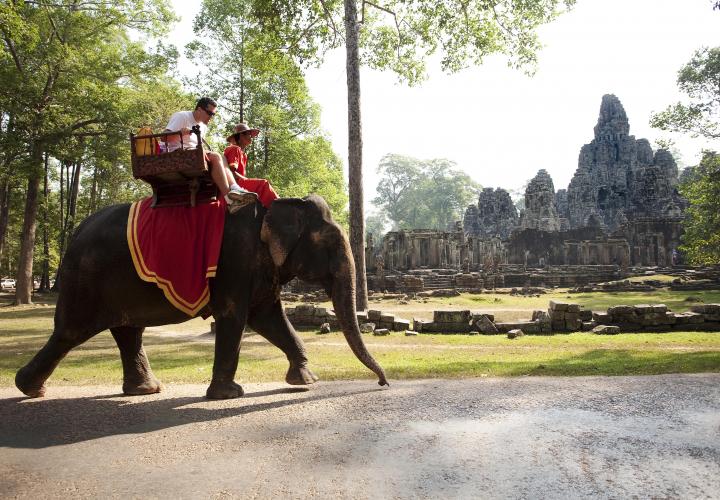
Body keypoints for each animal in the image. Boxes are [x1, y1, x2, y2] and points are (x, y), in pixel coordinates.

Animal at [15, 195, 388, 399]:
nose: (382, 382)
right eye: (330, 243)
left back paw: (145, 390)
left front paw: (306, 380)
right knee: (70, 332)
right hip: (86, 280)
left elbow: (269, 317)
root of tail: (77, 231)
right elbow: (235, 316)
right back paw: (28, 388)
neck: (277, 205)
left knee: (127, 332)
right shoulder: (235, 260)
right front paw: (228, 395)